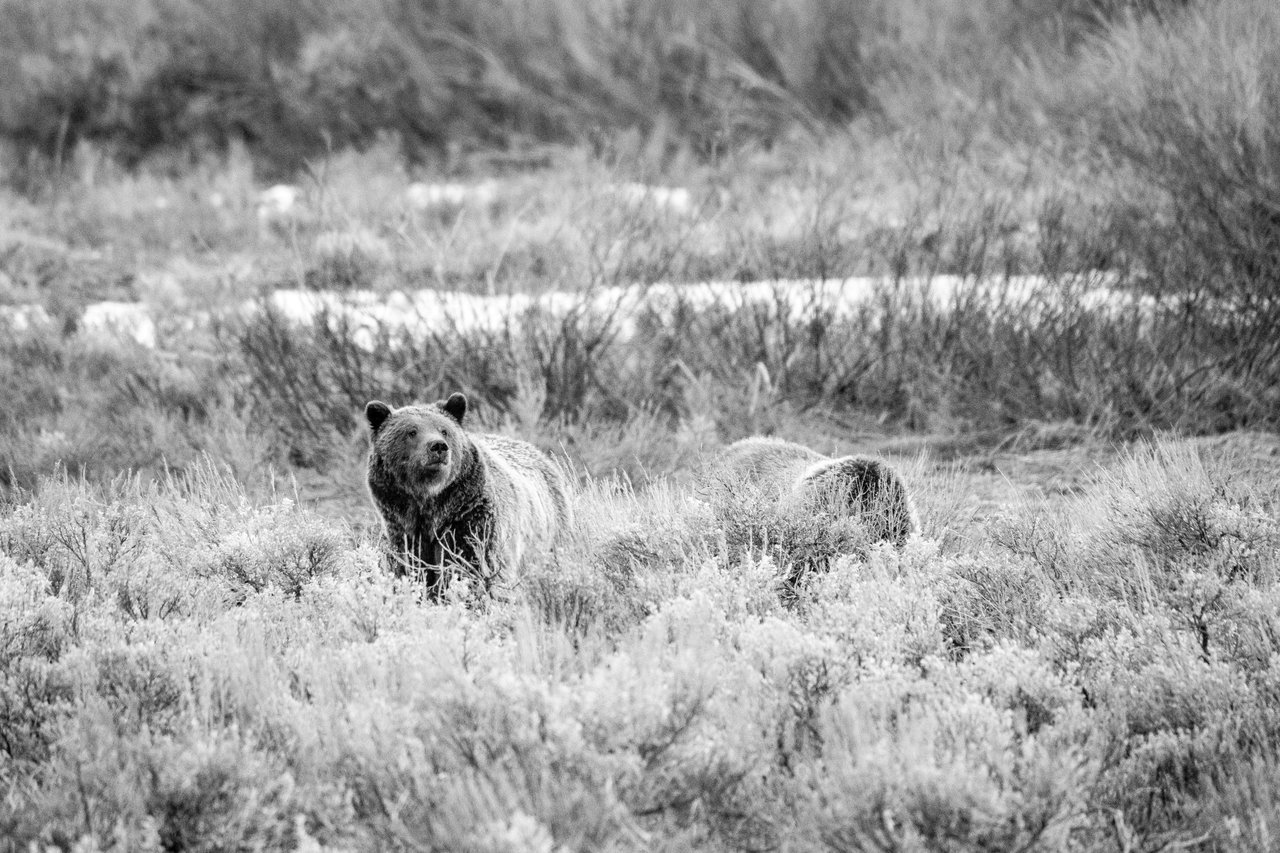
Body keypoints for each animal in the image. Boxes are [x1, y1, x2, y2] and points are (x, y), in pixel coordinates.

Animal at [365, 392, 571, 599]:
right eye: (411, 432)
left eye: (444, 430)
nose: (438, 446)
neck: (431, 503)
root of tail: (538, 452)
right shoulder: (404, 525)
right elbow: (410, 566)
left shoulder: (468, 516)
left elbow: (472, 562)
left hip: (550, 532)